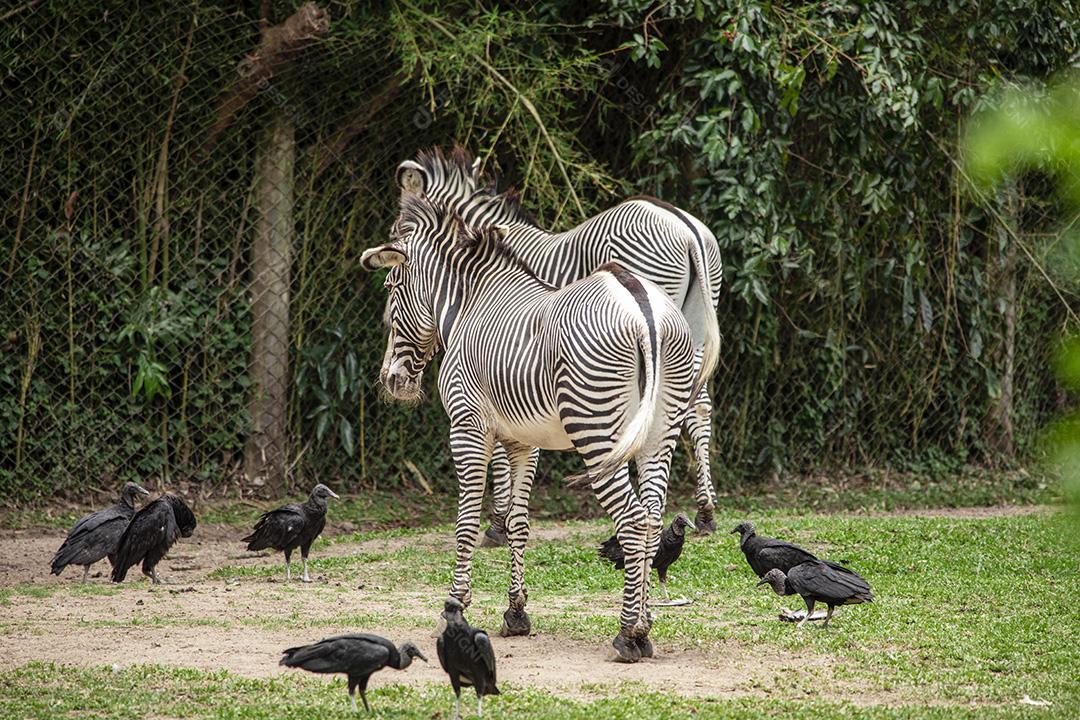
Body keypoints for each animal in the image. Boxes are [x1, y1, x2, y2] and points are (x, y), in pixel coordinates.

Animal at [360, 194, 697, 662]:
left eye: (392, 287)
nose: (391, 381)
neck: (470, 304)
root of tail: (640, 300)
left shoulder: (467, 427)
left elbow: (466, 520)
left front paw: (455, 605)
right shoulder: (524, 442)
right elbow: (518, 523)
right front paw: (516, 613)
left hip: (598, 430)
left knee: (632, 520)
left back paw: (628, 634)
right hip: (658, 433)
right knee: (650, 518)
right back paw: (645, 627)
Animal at [394, 146, 722, 537]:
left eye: (397, 231)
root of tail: (685, 227)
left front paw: (498, 521)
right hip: (694, 321)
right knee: (697, 406)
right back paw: (705, 512)